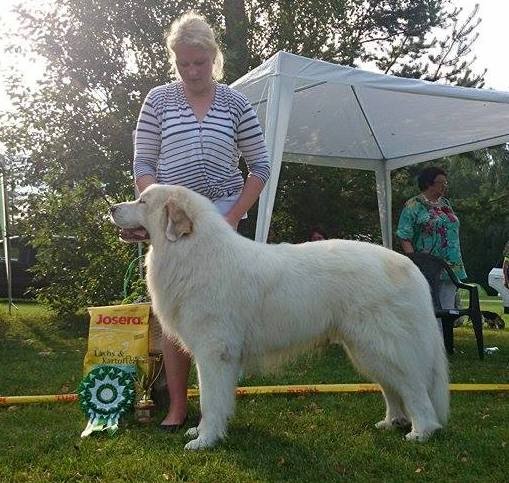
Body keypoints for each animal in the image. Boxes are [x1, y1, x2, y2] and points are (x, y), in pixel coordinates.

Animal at [111, 184, 448, 450]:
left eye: (143, 202)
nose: (112, 207)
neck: (192, 252)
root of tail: (408, 266)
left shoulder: (213, 352)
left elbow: (210, 399)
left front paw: (205, 440)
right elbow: (216, 399)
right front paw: (205, 432)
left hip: (382, 344)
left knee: (414, 388)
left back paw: (422, 431)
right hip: (365, 350)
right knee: (392, 388)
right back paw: (391, 422)